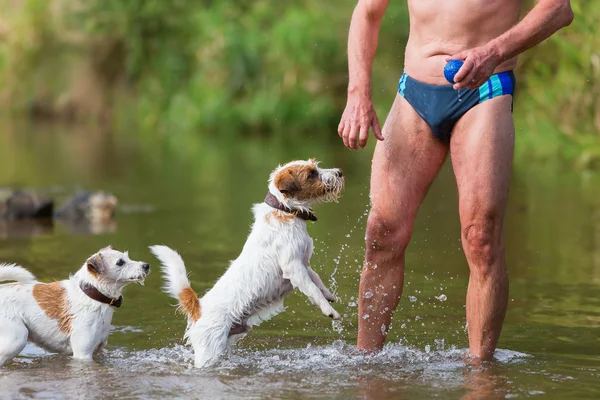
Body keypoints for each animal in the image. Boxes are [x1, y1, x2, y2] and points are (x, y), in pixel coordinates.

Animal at [0, 245, 150, 368]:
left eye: (127, 257)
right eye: (120, 262)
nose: (146, 265)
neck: (93, 294)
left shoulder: (99, 350)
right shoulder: (83, 354)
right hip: (17, 339)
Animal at [152, 159, 344, 368]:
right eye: (311, 174)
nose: (339, 172)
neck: (284, 210)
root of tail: (198, 308)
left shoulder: (304, 265)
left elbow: (317, 280)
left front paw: (329, 295)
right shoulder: (293, 267)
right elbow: (313, 289)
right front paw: (329, 310)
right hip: (209, 351)